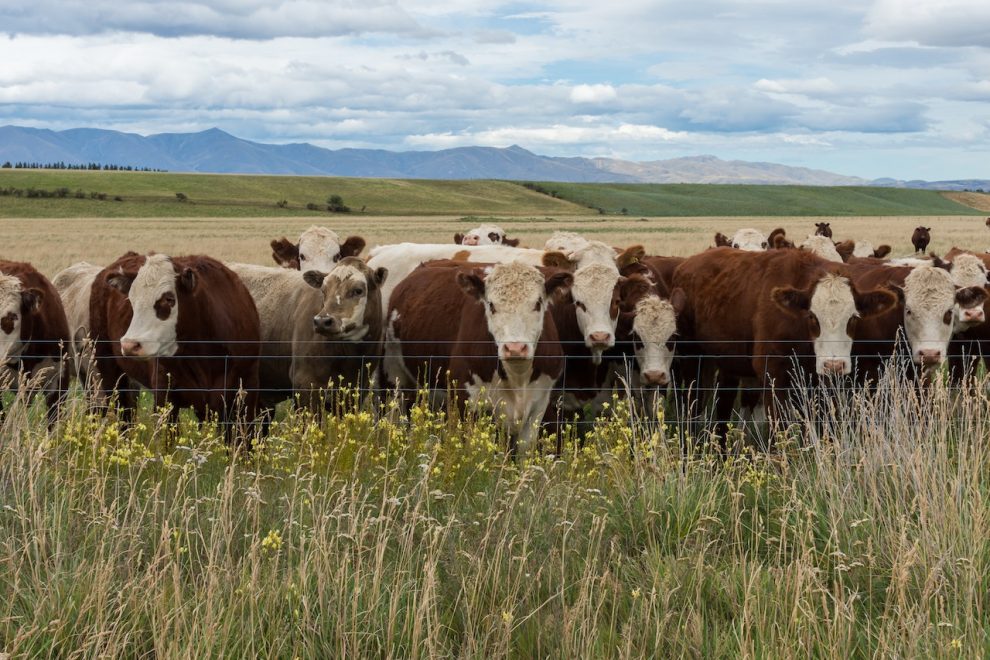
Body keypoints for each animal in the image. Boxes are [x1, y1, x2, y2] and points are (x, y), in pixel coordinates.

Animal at [89, 251, 262, 438]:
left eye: (169, 299)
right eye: (131, 300)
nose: (130, 345)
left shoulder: (246, 394)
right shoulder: (166, 399)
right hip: (107, 369)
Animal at [386, 260, 572, 456]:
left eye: (537, 303)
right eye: (491, 305)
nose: (515, 348)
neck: (517, 378)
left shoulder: (539, 404)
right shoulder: (465, 399)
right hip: (396, 378)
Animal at [672, 248, 896, 448]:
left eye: (853, 318)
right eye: (812, 317)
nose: (834, 365)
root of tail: (686, 264)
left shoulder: (817, 383)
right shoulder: (773, 377)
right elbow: (777, 432)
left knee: (723, 406)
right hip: (692, 359)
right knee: (692, 403)